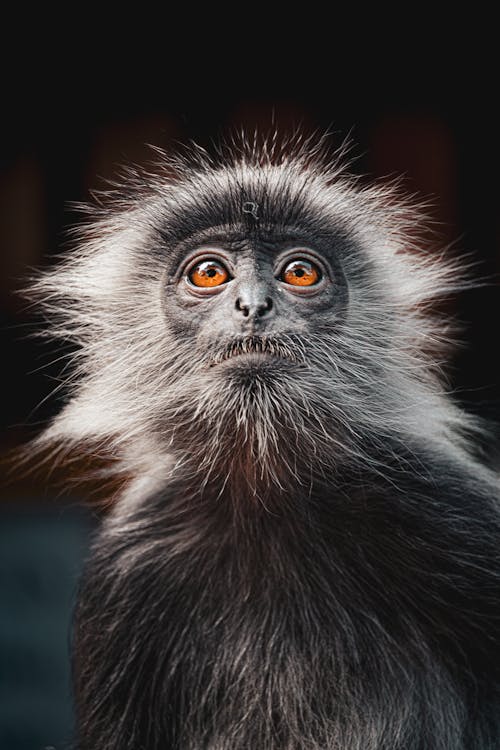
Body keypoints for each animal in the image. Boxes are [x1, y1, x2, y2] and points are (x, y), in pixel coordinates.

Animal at [29, 135, 500, 750]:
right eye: (209, 273)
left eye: (299, 272)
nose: (253, 306)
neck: (268, 492)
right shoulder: (125, 566)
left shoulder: (444, 500)